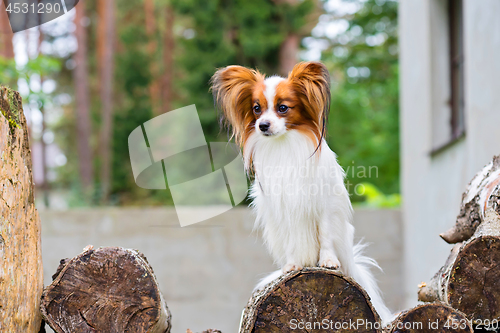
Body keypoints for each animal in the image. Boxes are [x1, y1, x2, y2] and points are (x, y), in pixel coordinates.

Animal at [209, 60, 392, 322]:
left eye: (283, 108)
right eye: (256, 109)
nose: (262, 125)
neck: (285, 144)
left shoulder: (324, 204)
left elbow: (325, 234)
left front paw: (327, 261)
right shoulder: (284, 209)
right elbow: (292, 240)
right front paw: (292, 265)